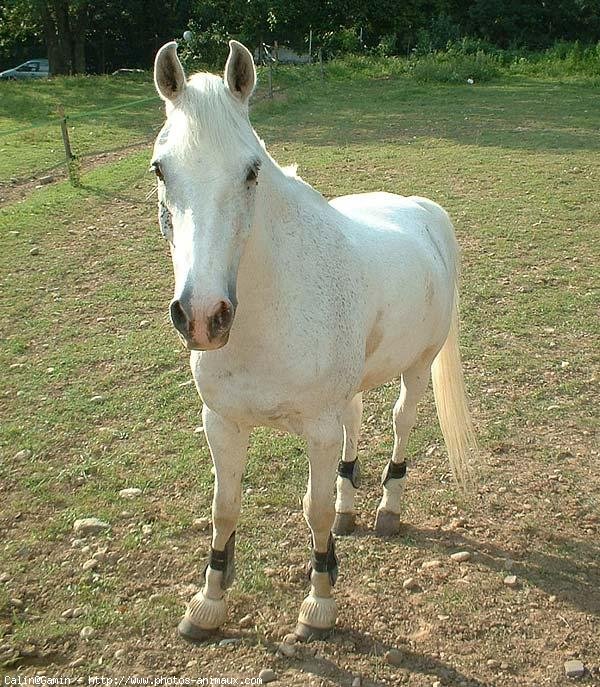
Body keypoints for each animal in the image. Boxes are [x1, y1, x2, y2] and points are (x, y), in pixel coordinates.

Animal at [151, 40, 478, 644]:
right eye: (161, 169)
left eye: (252, 170)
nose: (204, 316)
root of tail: (423, 210)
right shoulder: (222, 423)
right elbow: (225, 509)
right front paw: (207, 604)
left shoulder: (317, 431)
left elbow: (315, 512)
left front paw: (320, 604)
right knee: (356, 424)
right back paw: (354, 508)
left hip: (417, 369)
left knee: (399, 424)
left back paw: (387, 511)